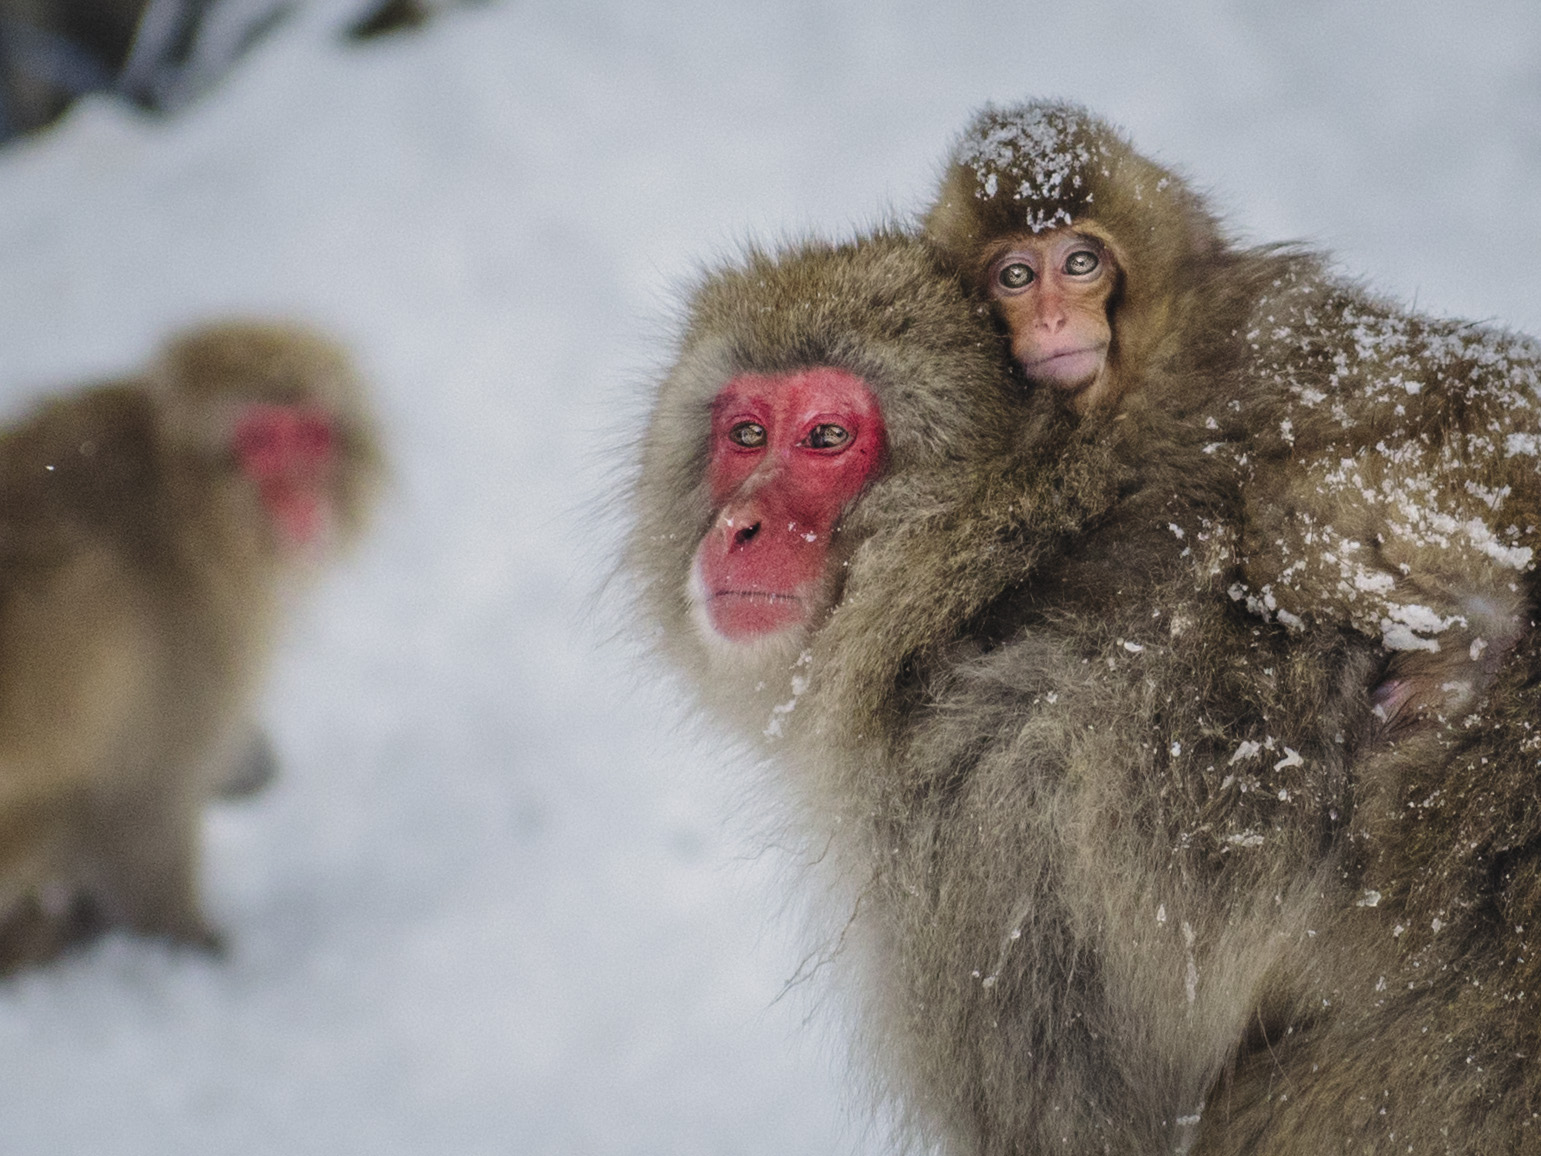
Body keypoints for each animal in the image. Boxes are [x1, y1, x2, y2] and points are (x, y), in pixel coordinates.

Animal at [0, 319, 381, 970]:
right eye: (263, 442)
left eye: (310, 436)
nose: (303, 501)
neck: (182, 504)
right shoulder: (186, 628)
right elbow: (146, 799)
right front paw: (199, 944)